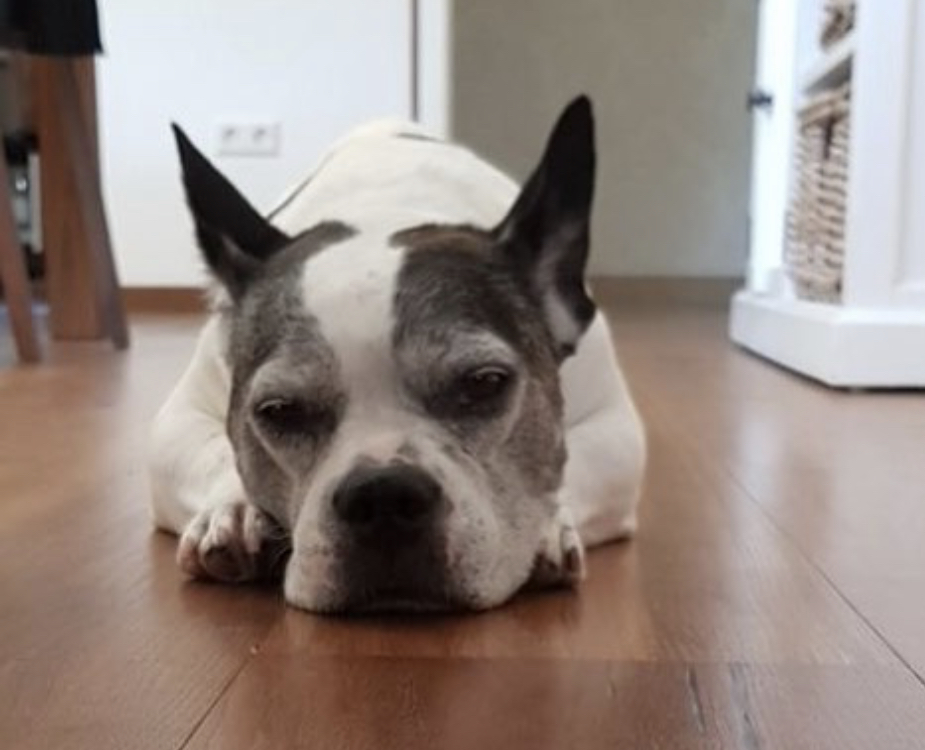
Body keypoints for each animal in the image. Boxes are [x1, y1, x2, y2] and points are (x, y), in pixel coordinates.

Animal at [150, 97, 644, 612]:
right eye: (278, 410)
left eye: (485, 382)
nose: (382, 494)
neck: (383, 214)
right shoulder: (179, 418)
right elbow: (216, 452)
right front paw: (232, 509)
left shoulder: (616, 429)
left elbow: (573, 467)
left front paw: (547, 526)